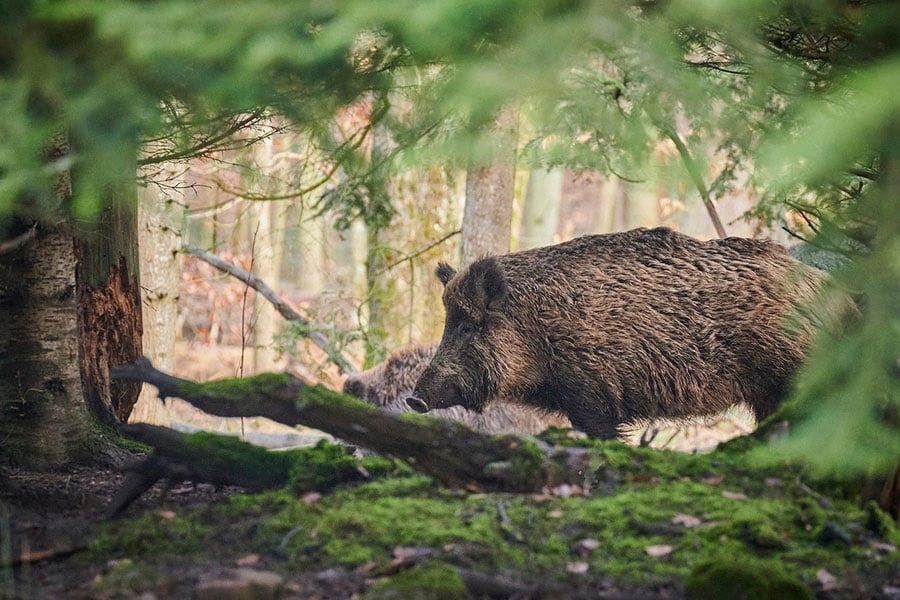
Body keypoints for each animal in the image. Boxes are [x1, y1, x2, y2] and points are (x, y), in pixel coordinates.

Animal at [409, 227, 831, 440]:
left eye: (468, 325)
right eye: (448, 323)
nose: (414, 399)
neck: (536, 330)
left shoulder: (592, 393)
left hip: (793, 376)